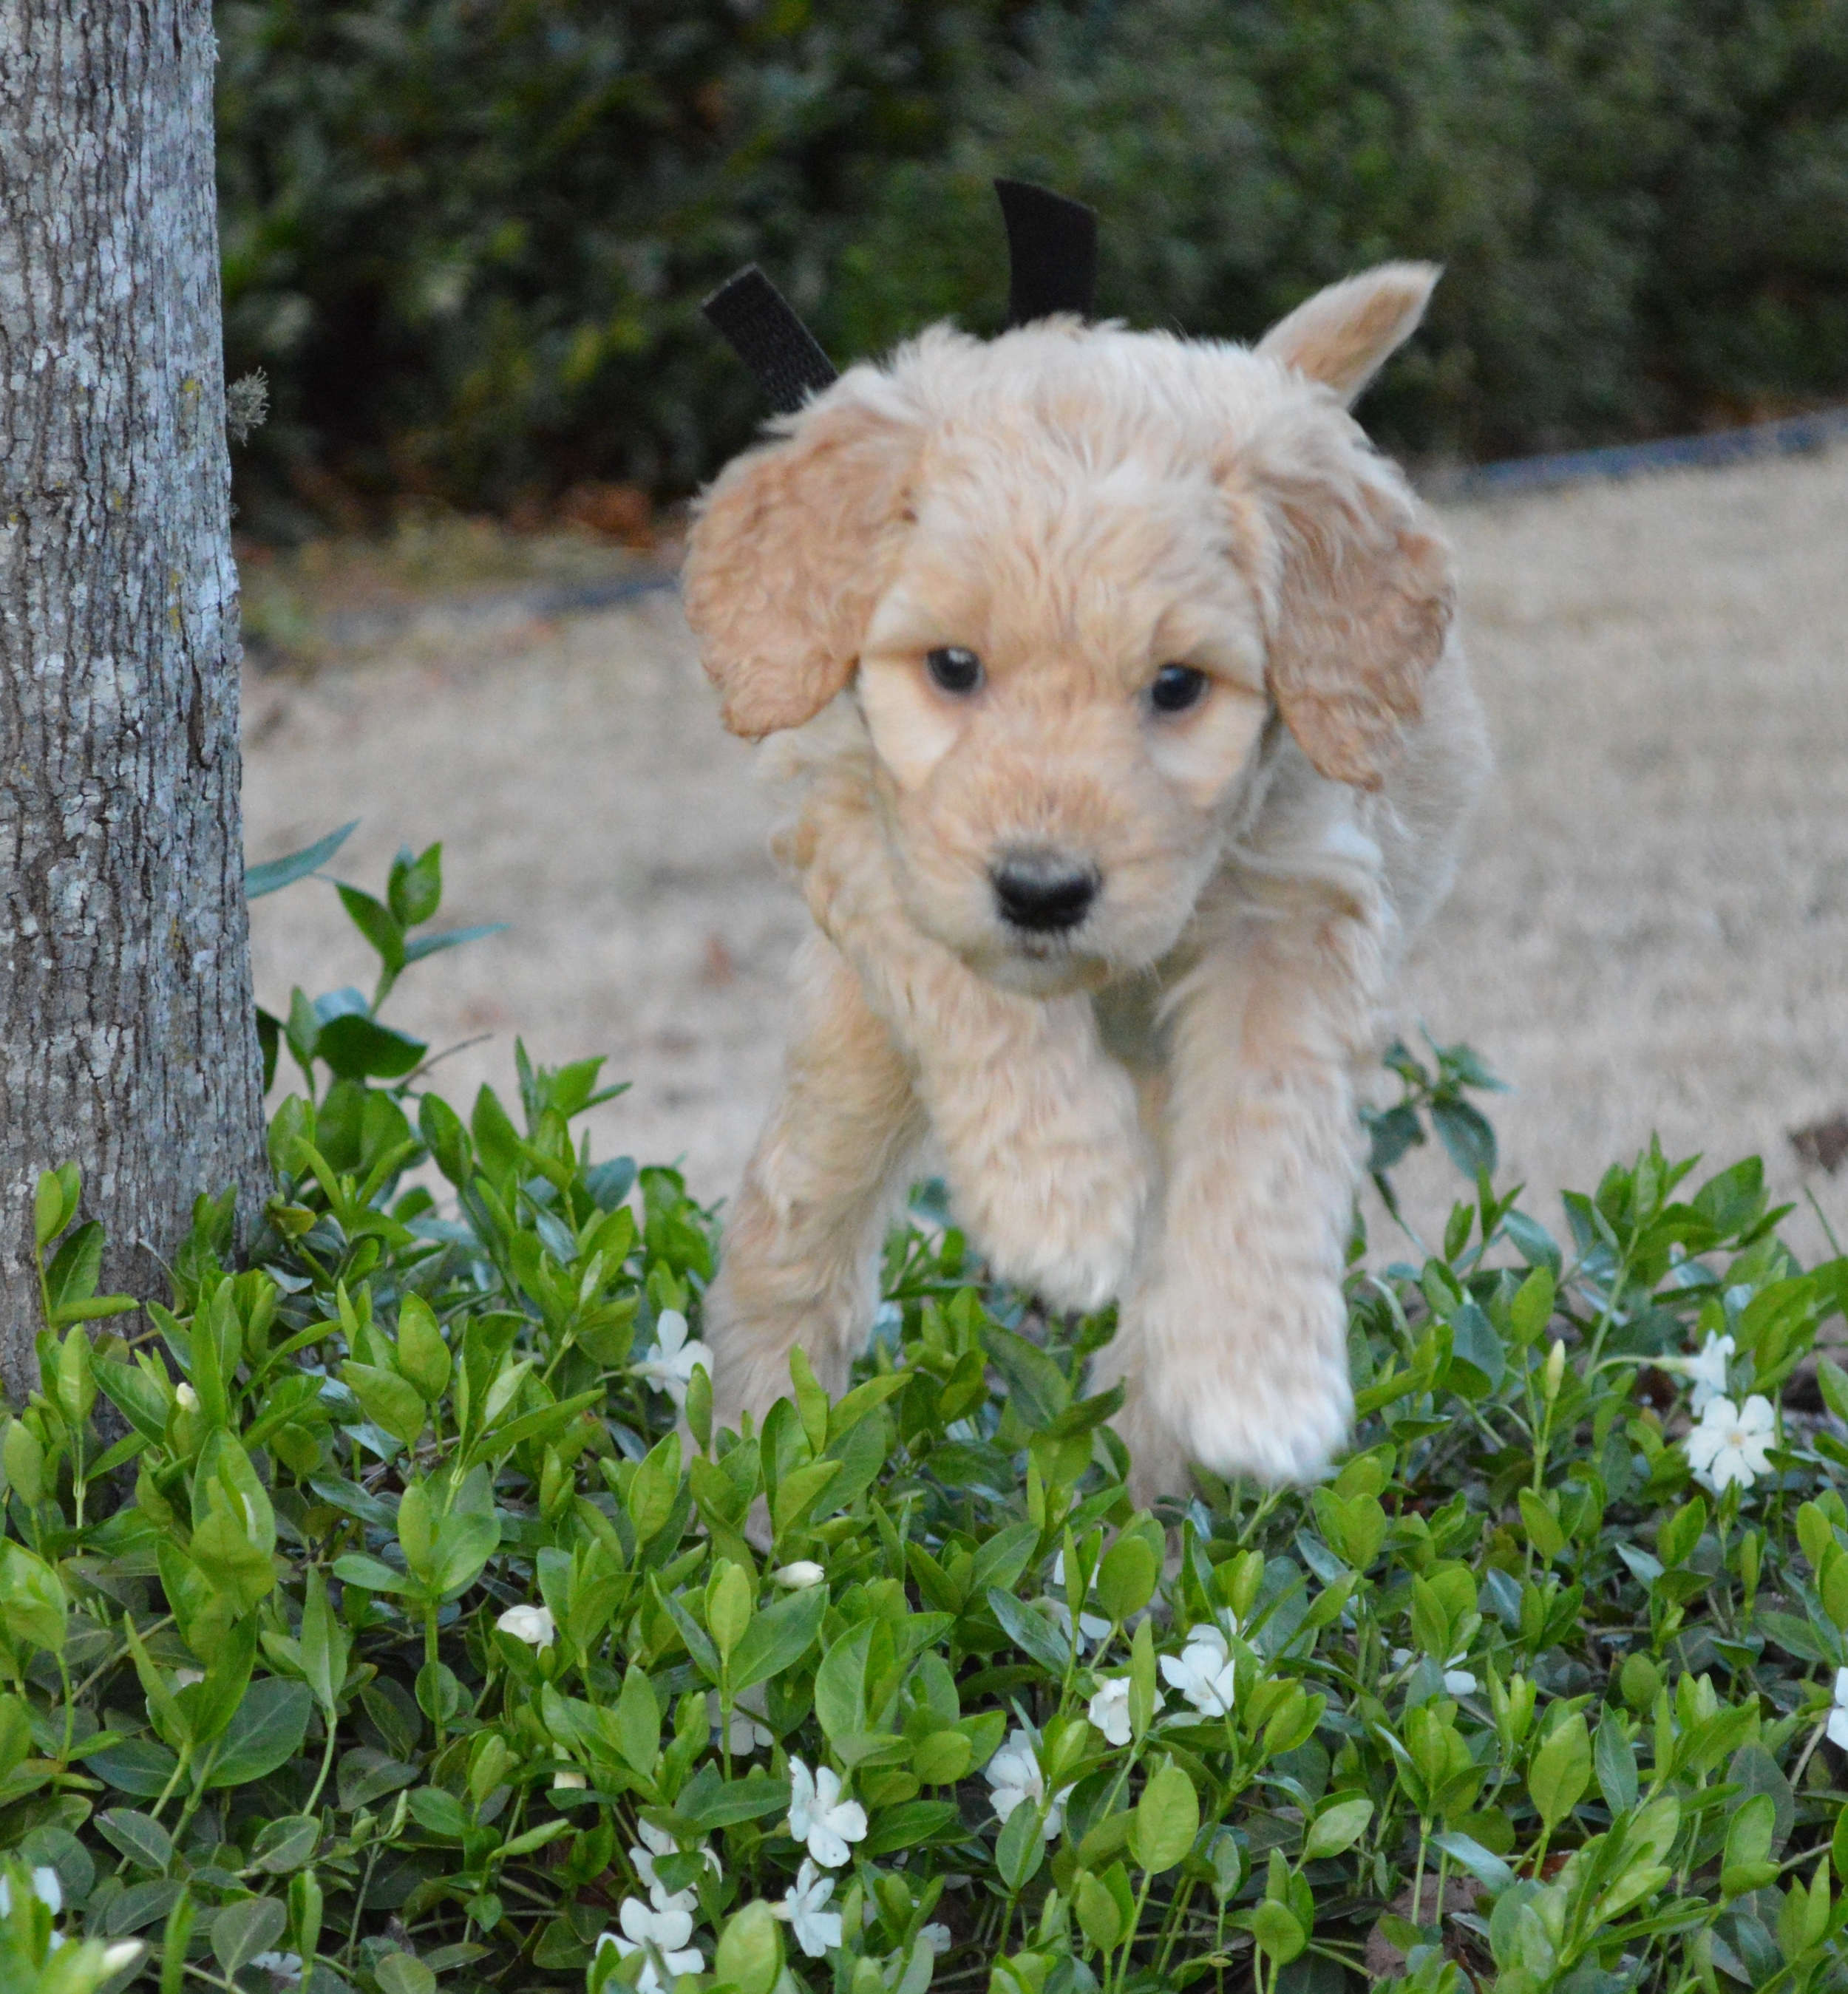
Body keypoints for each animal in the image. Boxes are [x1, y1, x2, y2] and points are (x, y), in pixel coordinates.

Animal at [677, 269, 1491, 1507]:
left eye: (1177, 686)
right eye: (952, 666)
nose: (1043, 891)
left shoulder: (1299, 901)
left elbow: (1269, 1135)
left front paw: (1261, 1378)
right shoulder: (851, 814)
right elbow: (964, 984)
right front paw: (1057, 1197)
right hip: (848, 1064)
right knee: (795, 1236)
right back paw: (757, 1476)